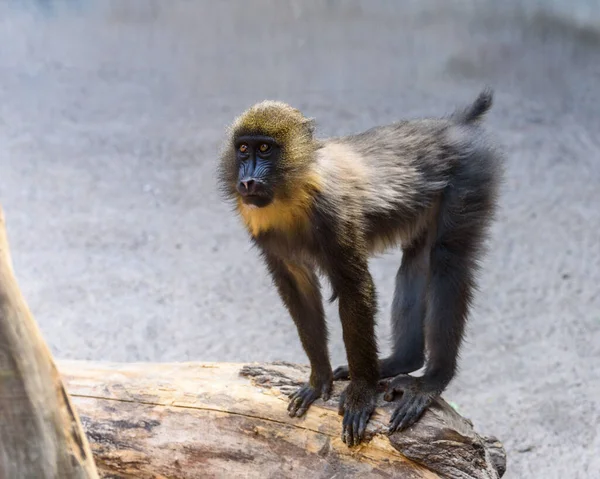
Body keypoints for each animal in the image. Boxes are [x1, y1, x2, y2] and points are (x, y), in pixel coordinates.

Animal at [216, 89, 502, 446]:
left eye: (265, 149)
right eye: (243, 149)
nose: (248, 180)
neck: (294, 189)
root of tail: (454, 125)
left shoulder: (333, 213)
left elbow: (355, 287)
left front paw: (360, 393)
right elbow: (298, 290)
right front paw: (318, 379)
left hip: (469, 178)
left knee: (447, 259)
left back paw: (433, 379)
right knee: (416, 263)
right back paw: (401, 361)